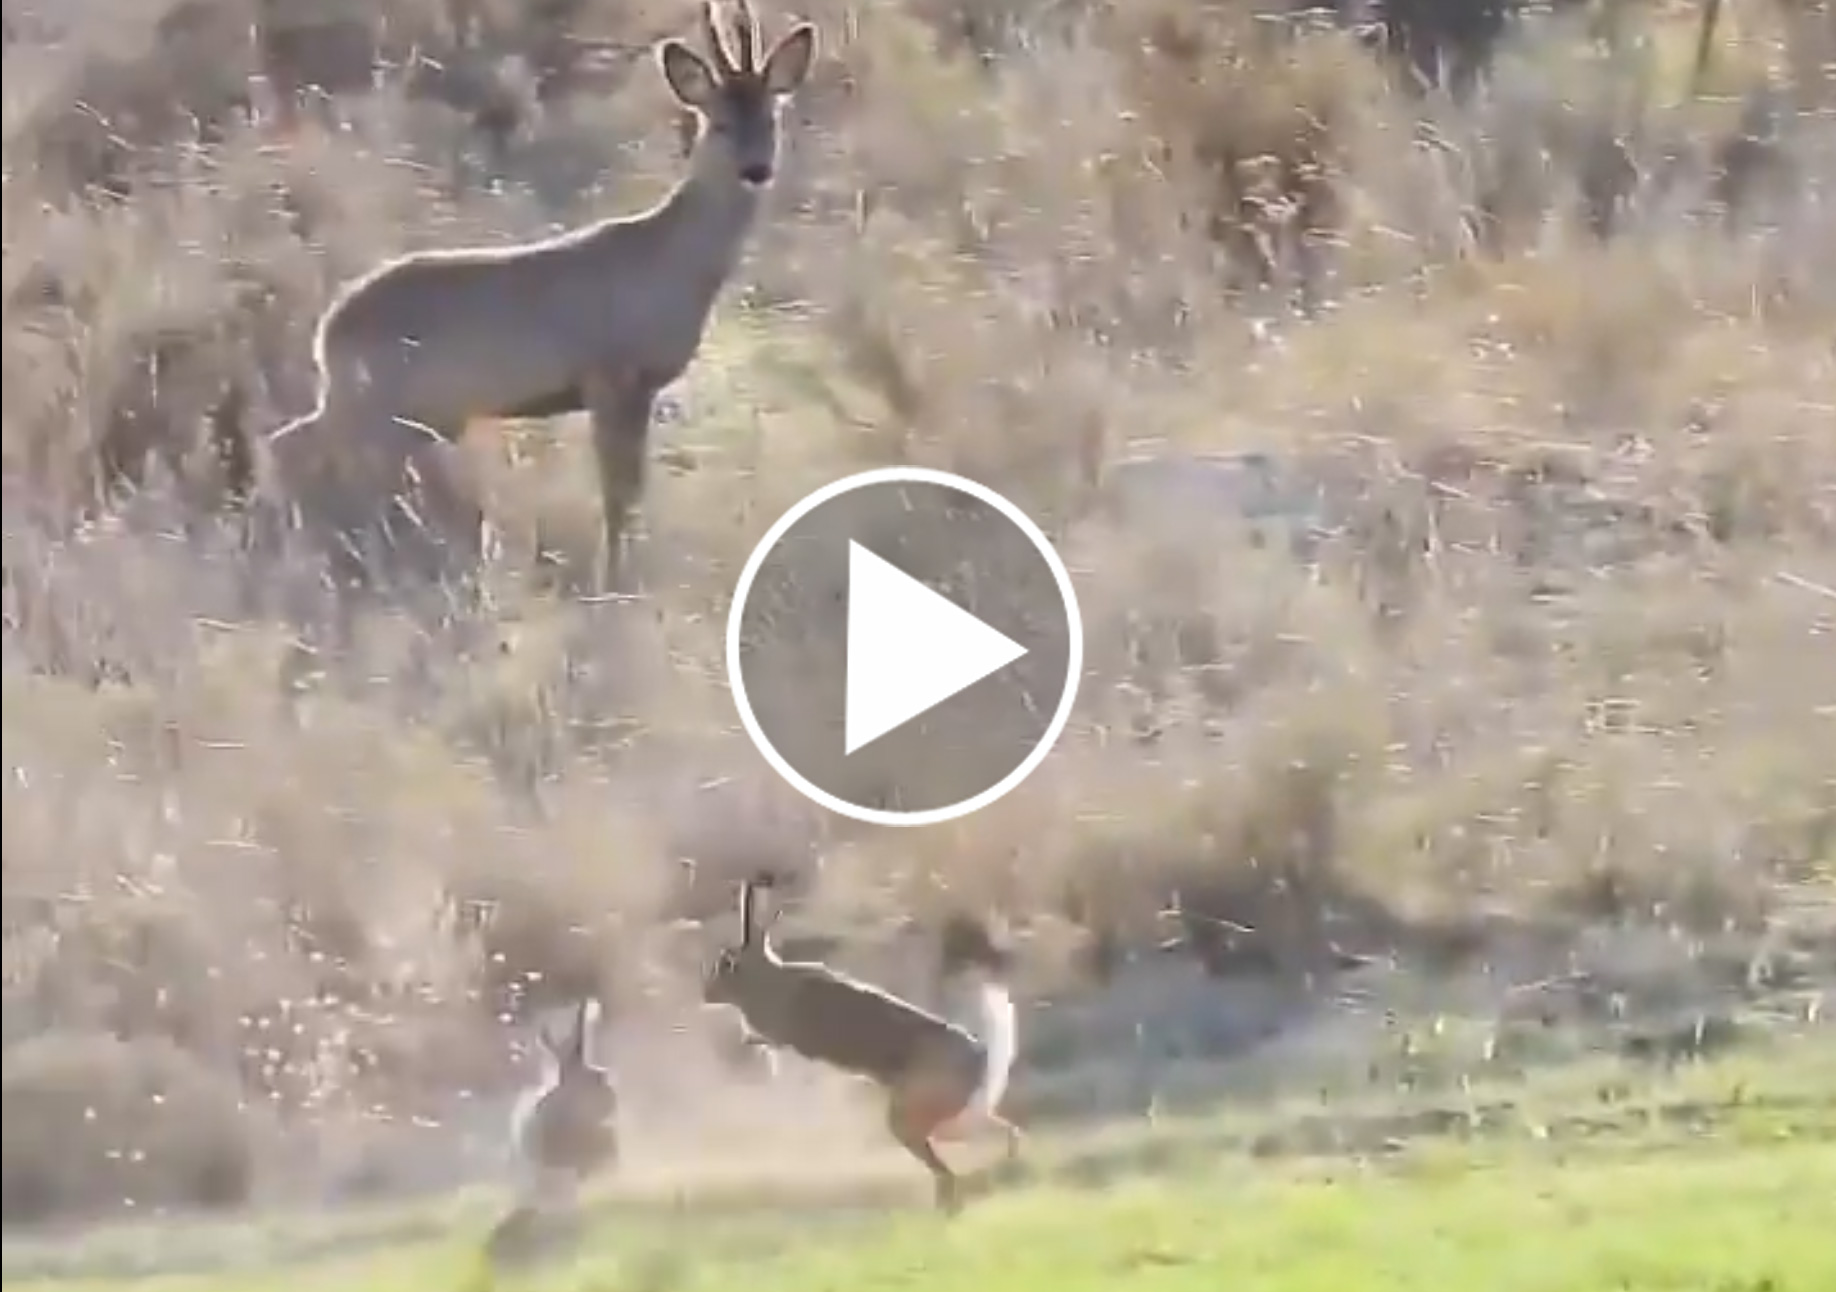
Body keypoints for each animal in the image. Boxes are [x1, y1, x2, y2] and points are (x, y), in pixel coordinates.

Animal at [266, 0, 818, 590]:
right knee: (294, 451)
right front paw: (614, 584)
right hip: (372, 405)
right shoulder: (610, 374)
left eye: (772, 117)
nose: (756, 170)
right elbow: (618, 492)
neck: (672, 260)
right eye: (719, 121)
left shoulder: (637, 386)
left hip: (396, 415)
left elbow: (631, 489)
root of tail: (329, 329)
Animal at [697, 877, 1028, 1211]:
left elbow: (768, 1040)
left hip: (914, 1114)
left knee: (946, 1166)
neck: (764, 977)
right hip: (951, 1116)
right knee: (992, 1134)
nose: (705, 994)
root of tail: (981, 1056)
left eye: (727, 963)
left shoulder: (780, 1031)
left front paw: (749, 1043)